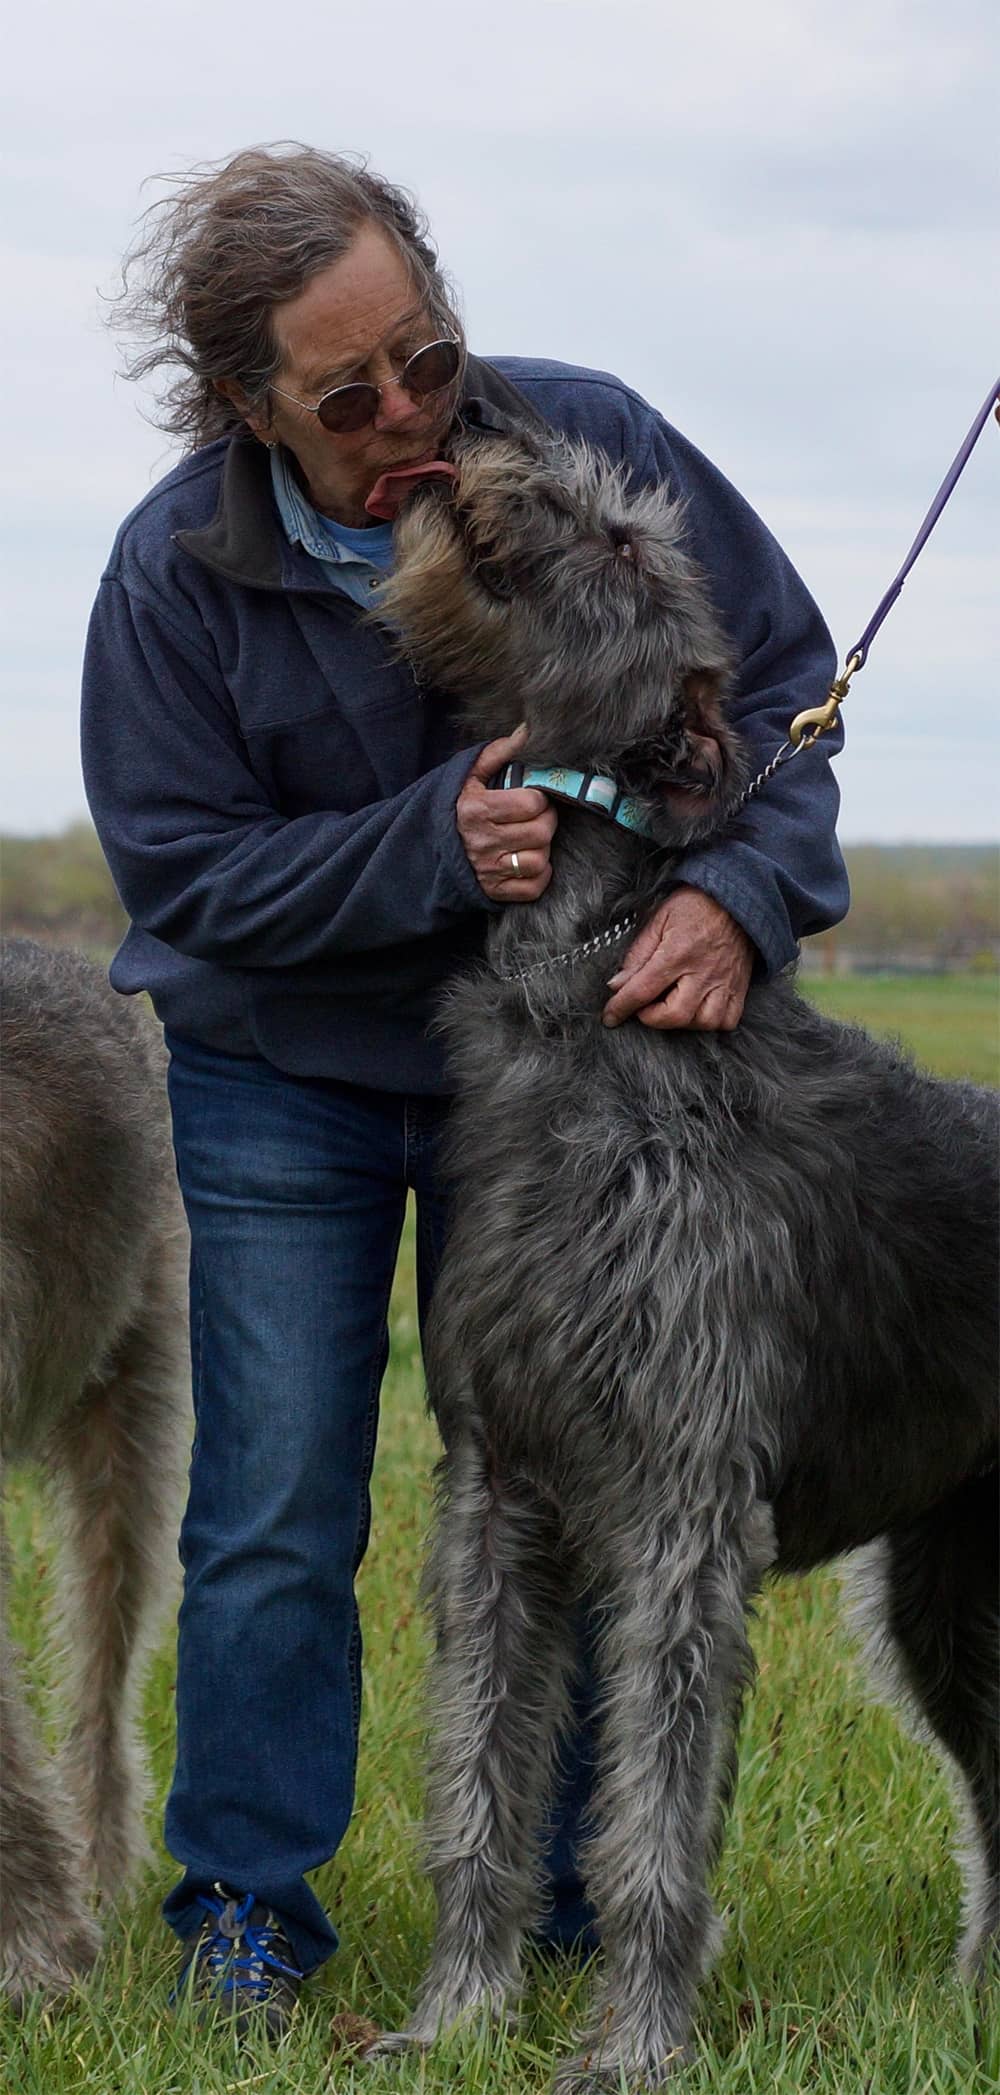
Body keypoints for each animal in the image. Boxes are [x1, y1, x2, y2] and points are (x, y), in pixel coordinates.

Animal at [368, 433, 997, 2086]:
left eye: (628, 547)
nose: (484, 436)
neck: (582, 1008)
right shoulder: (494, 1488)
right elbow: (478, 1775)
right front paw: (459, 2013)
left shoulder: (685, 1510)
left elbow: (653, 1815)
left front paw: (635, 2044)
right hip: (951, 1586)